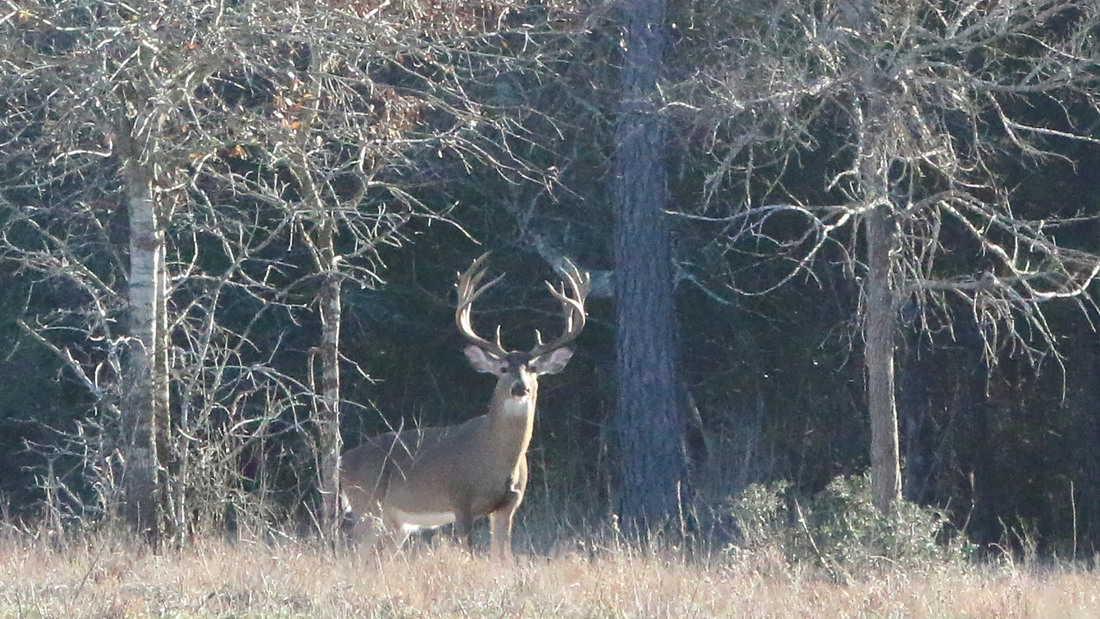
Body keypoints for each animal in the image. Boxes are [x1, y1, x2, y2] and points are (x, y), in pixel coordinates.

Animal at [339, 253, 589, 560]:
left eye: (532, 369)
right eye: (503, 368)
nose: (520, 387)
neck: (494, 458)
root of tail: (342, 461)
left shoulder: (509, 505)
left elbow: (503, 556)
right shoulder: (460, 499)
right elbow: (468, 550)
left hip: (397, 523)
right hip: (366, 504)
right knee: (353, 555)